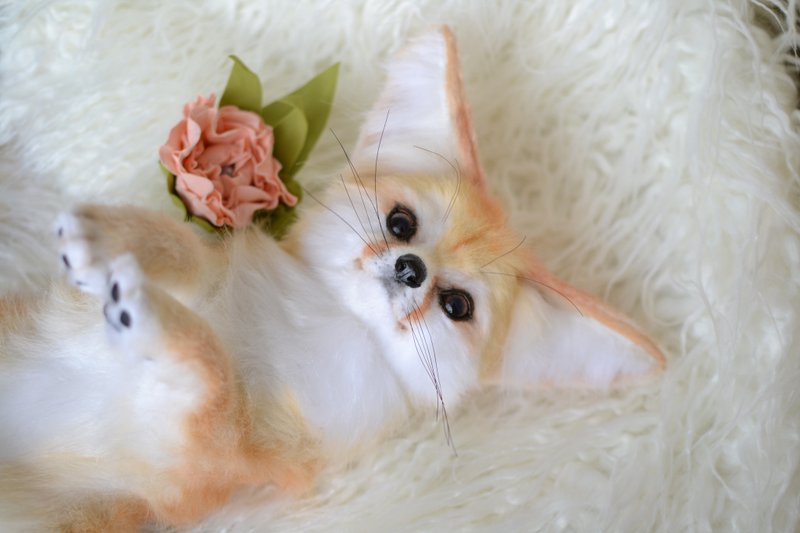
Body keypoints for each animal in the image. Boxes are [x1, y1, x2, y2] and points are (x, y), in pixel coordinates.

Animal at [0, 27, 664, 532]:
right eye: (401, 223)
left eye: (456, 307)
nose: (411, 267)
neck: (319, 323)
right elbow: (185, 249)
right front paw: (111, 236)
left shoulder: (213, 460)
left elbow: (212, 374)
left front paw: (153, 320)